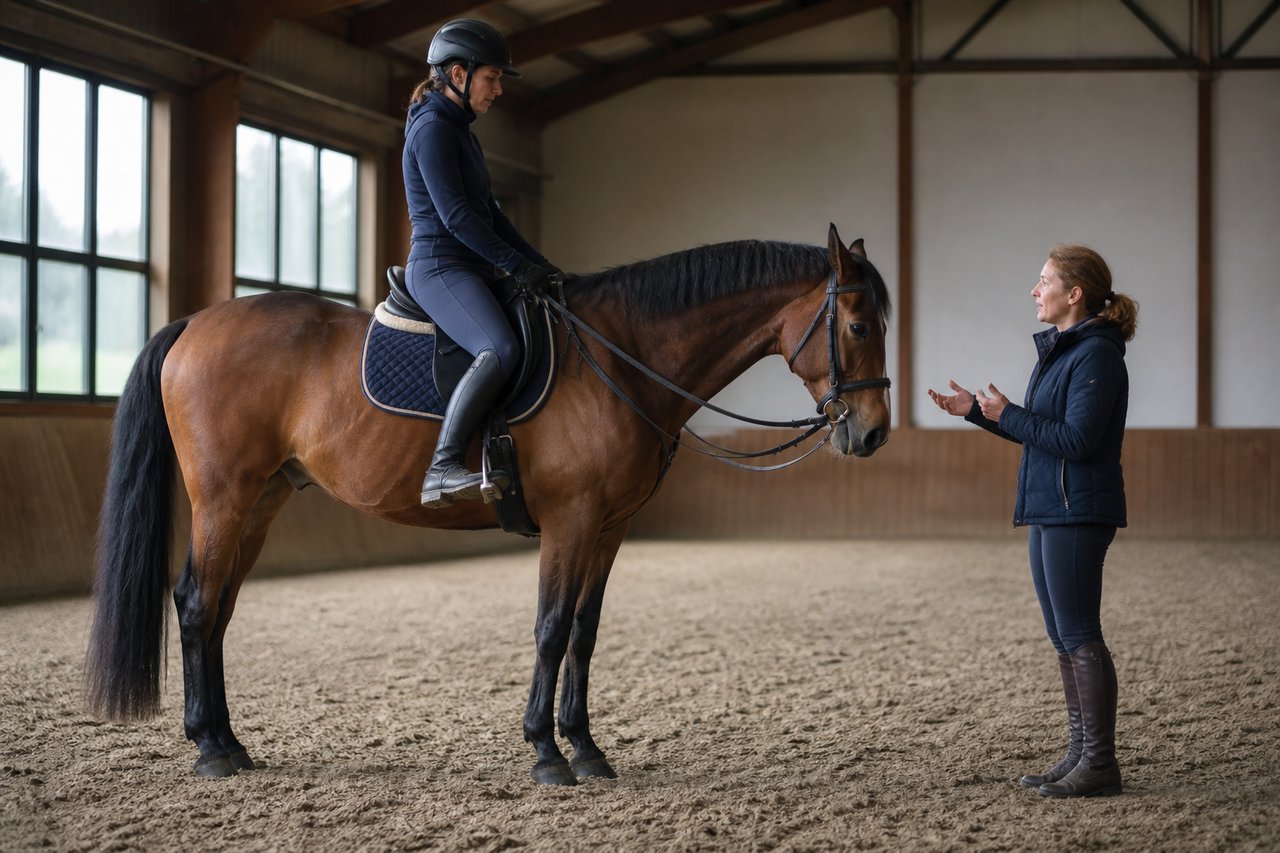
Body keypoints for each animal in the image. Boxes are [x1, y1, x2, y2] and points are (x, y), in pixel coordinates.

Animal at [84, 224, 892, 785]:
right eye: (858, 326)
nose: (875, 433)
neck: (622, 355)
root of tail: (195, 323)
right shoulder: (571, 519)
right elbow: (550, 628)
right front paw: (546, 752)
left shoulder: (610, 525)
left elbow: (585, 633)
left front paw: (587, 748)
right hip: (224, 498)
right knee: (196, 605)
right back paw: (209, 749)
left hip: (262, 499)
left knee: (216, 610)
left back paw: (228, 740)